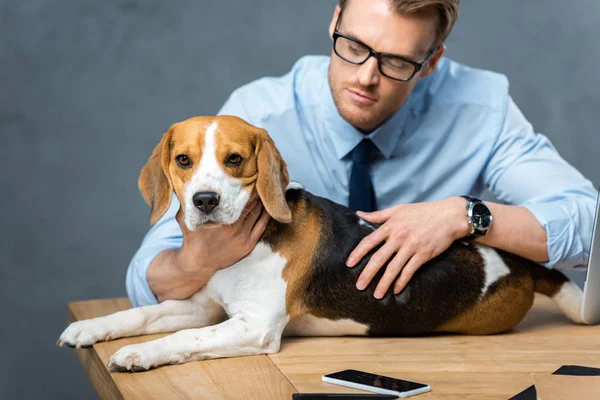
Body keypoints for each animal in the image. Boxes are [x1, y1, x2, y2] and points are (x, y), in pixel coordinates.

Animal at [57, 115, 584, 372]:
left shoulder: (252, 327)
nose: (205, 201)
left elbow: (183, 339)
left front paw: (141, 354)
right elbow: (142, 315)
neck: (244, 245)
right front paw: (93, 329)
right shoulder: (204, 307)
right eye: (183, 160)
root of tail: (517, 263)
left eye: (234, 159)